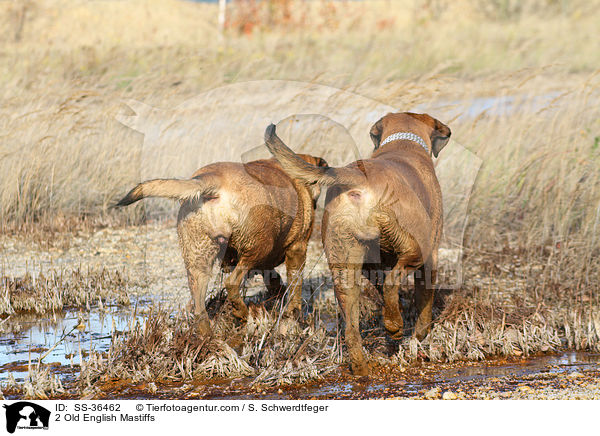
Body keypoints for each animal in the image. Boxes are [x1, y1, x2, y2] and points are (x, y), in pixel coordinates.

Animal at [114, 154, 326, 334]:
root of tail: (211, 180)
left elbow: (273, 277)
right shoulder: (297, 249)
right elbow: (295, 286)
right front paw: (293, 314)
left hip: (199, 261)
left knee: (199, 309)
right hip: (259, 245)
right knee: (232, 282)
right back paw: (241, 312)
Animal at [264, 113, 452, 374]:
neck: (404, 143)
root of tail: (358, 180)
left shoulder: (372, 267)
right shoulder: (430, 256)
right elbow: (423, 300)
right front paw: (420, 335)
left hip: (344, 268)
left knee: (352, 331)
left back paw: (362, 368)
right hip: (416, 248)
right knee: (393, 283)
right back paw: (394, 325)